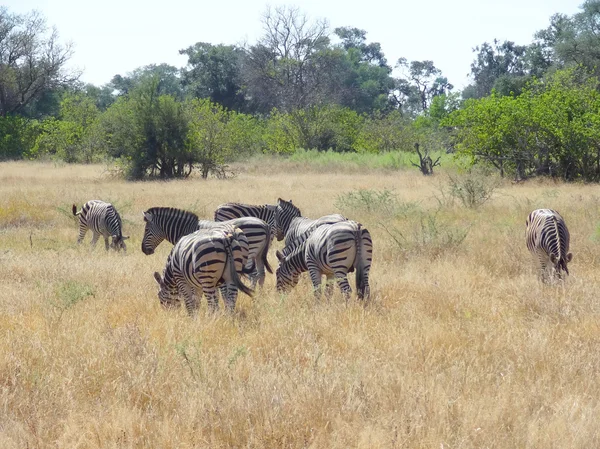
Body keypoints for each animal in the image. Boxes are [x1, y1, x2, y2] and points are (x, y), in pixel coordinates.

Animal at [141, 207, 272, 288]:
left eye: (146, 230)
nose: (143, 250)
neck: (186, 228)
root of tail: (263, 223)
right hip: (259, 254)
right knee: (261, 274)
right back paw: (259, 296)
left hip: (251, 252)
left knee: (254, 275)